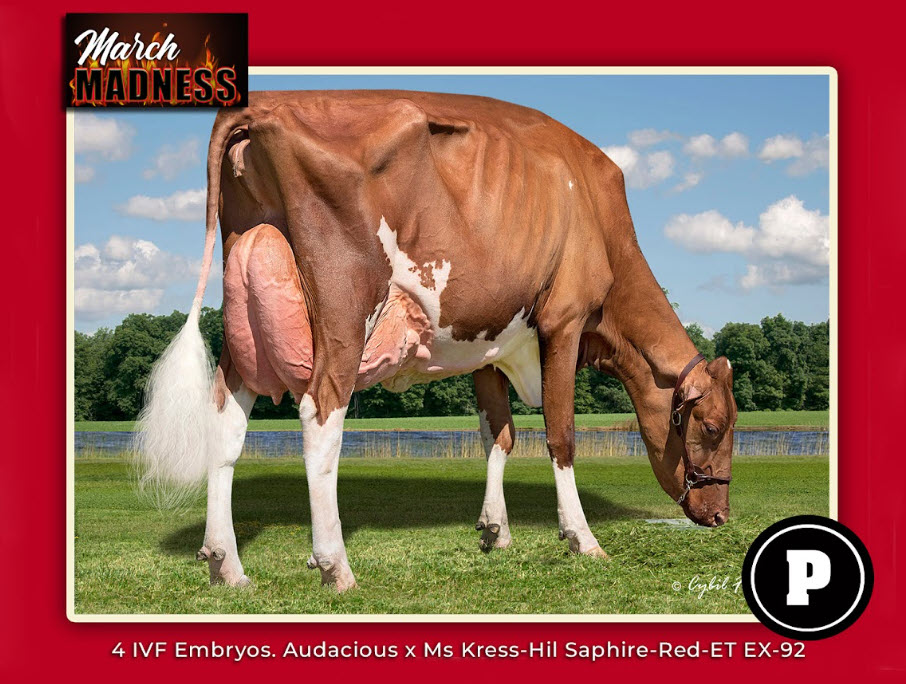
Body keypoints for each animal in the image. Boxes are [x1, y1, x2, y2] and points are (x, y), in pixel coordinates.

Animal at [135, 90, 737, 593]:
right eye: (711, 426)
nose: (721, 514)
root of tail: (265, 103)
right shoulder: (563, 321)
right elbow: (561, 435)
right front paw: (582, 539)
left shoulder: (491, 342)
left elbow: (499, 435)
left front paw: (496, 531)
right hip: (345, 309)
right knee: (321, 416)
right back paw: (335, 565)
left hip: (244, 313)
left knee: (225, 422)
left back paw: (226, 564)